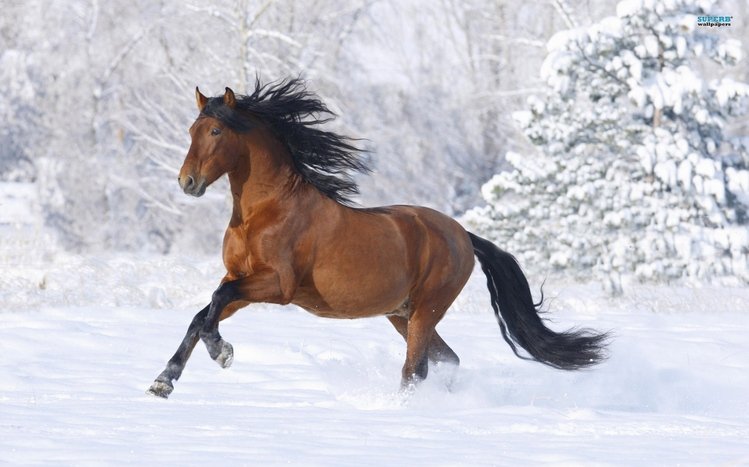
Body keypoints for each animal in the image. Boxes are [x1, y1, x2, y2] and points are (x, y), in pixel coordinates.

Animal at [147, 78, 608, 398]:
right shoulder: (239, 279)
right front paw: (163, 381)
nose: (187, 182)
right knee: (447, 359)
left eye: (216, 133)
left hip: (425, 310)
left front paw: (222, 352)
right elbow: (202, 314)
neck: (266, 212)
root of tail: (461, 234)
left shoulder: (276, 285)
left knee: (415, 369)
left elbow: (214, 305)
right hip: (401, 314)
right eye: (191, 130)